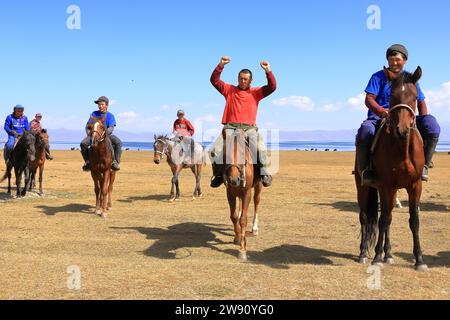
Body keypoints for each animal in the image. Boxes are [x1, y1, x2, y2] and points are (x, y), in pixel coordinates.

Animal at [222, 127, 264, 260]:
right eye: (225, 155)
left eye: (242, 153)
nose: (234, 180)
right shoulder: (229, 193)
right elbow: (234, 216)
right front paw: (237, 236)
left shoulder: (247, 193)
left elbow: (243, 220)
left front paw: (242, 250)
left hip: (258, 186)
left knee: (256, 202)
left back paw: (254, 228)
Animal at [356, 66, 428, 272]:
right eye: (393, 96)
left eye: (414, 96)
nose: (402, 130)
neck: (401, 148)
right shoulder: (385, 185)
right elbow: (382, 220)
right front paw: (376, 257)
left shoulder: (415, 185)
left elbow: (413, 221)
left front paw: (419, 260)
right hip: (364, 187)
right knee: (365, 217)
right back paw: (364, 253)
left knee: (387, 219)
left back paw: (388, 254)